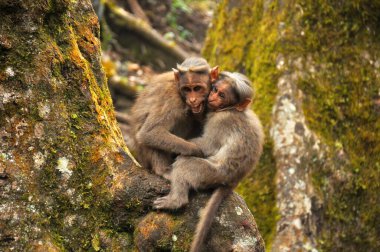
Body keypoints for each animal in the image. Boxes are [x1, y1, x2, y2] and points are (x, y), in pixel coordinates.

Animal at [153, 71, 262, 252]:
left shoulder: (221, 121)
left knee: (185, 165)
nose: (212, 97)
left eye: (222, 95)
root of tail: (233, 181)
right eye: (216, 90)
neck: (230, 109)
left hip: (209, 174)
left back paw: (175, 201)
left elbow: (207, 145)